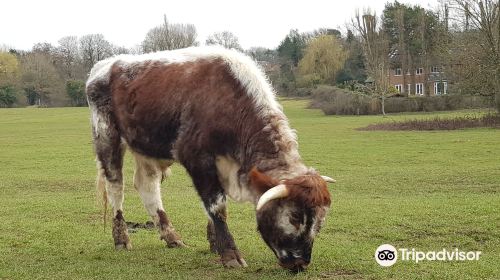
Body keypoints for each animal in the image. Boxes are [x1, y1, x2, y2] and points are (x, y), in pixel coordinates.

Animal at [86, 47, 334, 272]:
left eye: (320, 222)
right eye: (295, 217)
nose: (301, 263)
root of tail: (104, 65)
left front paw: (215, 243)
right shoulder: (198, 159)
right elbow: (217, 206)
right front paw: (230, 254)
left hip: (146, 146)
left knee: (148, 186)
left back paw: (172, 237)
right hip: (107, 138)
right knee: (116, 187)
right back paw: (121, 239)